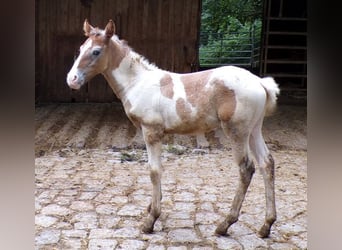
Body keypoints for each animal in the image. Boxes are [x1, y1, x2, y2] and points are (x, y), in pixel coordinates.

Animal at [67, 19, 280, 238]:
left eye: (96, 51)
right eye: (81, 48)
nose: (72, 79)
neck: (138, 82)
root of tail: (260, 82)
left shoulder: (151, 132)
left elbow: (154, 170)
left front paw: (151, 220)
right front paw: (152, 207)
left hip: (237, 132)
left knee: (246, 169)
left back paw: (225, 224)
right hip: (254, 130)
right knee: (267, 163)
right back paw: (266, 225)